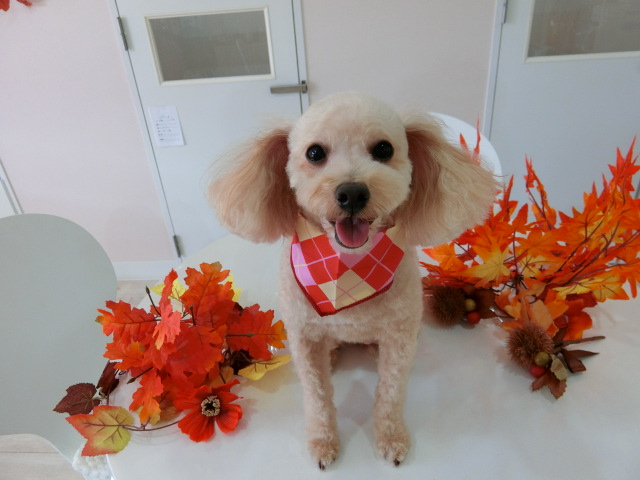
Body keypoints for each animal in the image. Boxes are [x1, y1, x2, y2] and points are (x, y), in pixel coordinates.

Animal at [210, 92, 496, 468]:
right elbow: (317, 397)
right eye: (314, 153)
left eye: (384, 149)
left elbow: (391, 392)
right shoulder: (303, 336)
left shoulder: (398, 336)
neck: (346, 268)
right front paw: (323, 442)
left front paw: (391, 438)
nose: (352, 193)